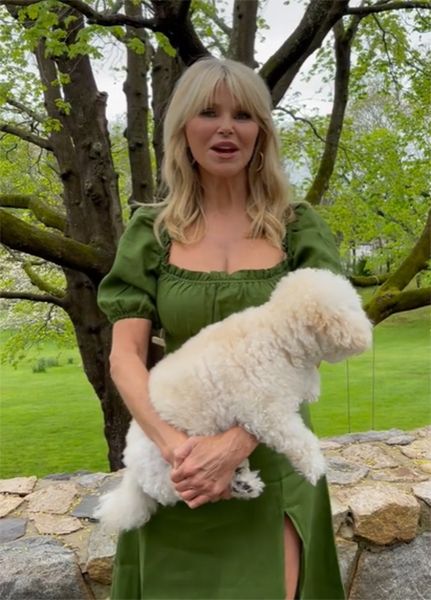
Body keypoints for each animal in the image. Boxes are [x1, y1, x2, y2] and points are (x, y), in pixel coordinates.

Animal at [96, 270, 372, 532]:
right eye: (353, 308)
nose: (368, 331)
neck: (276, 331)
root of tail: (132, 473)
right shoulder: (268, 413)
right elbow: (298, 439)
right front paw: (314, 465)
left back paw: (243, 482)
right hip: (168, 469)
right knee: (174, 493)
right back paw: (238, 485)